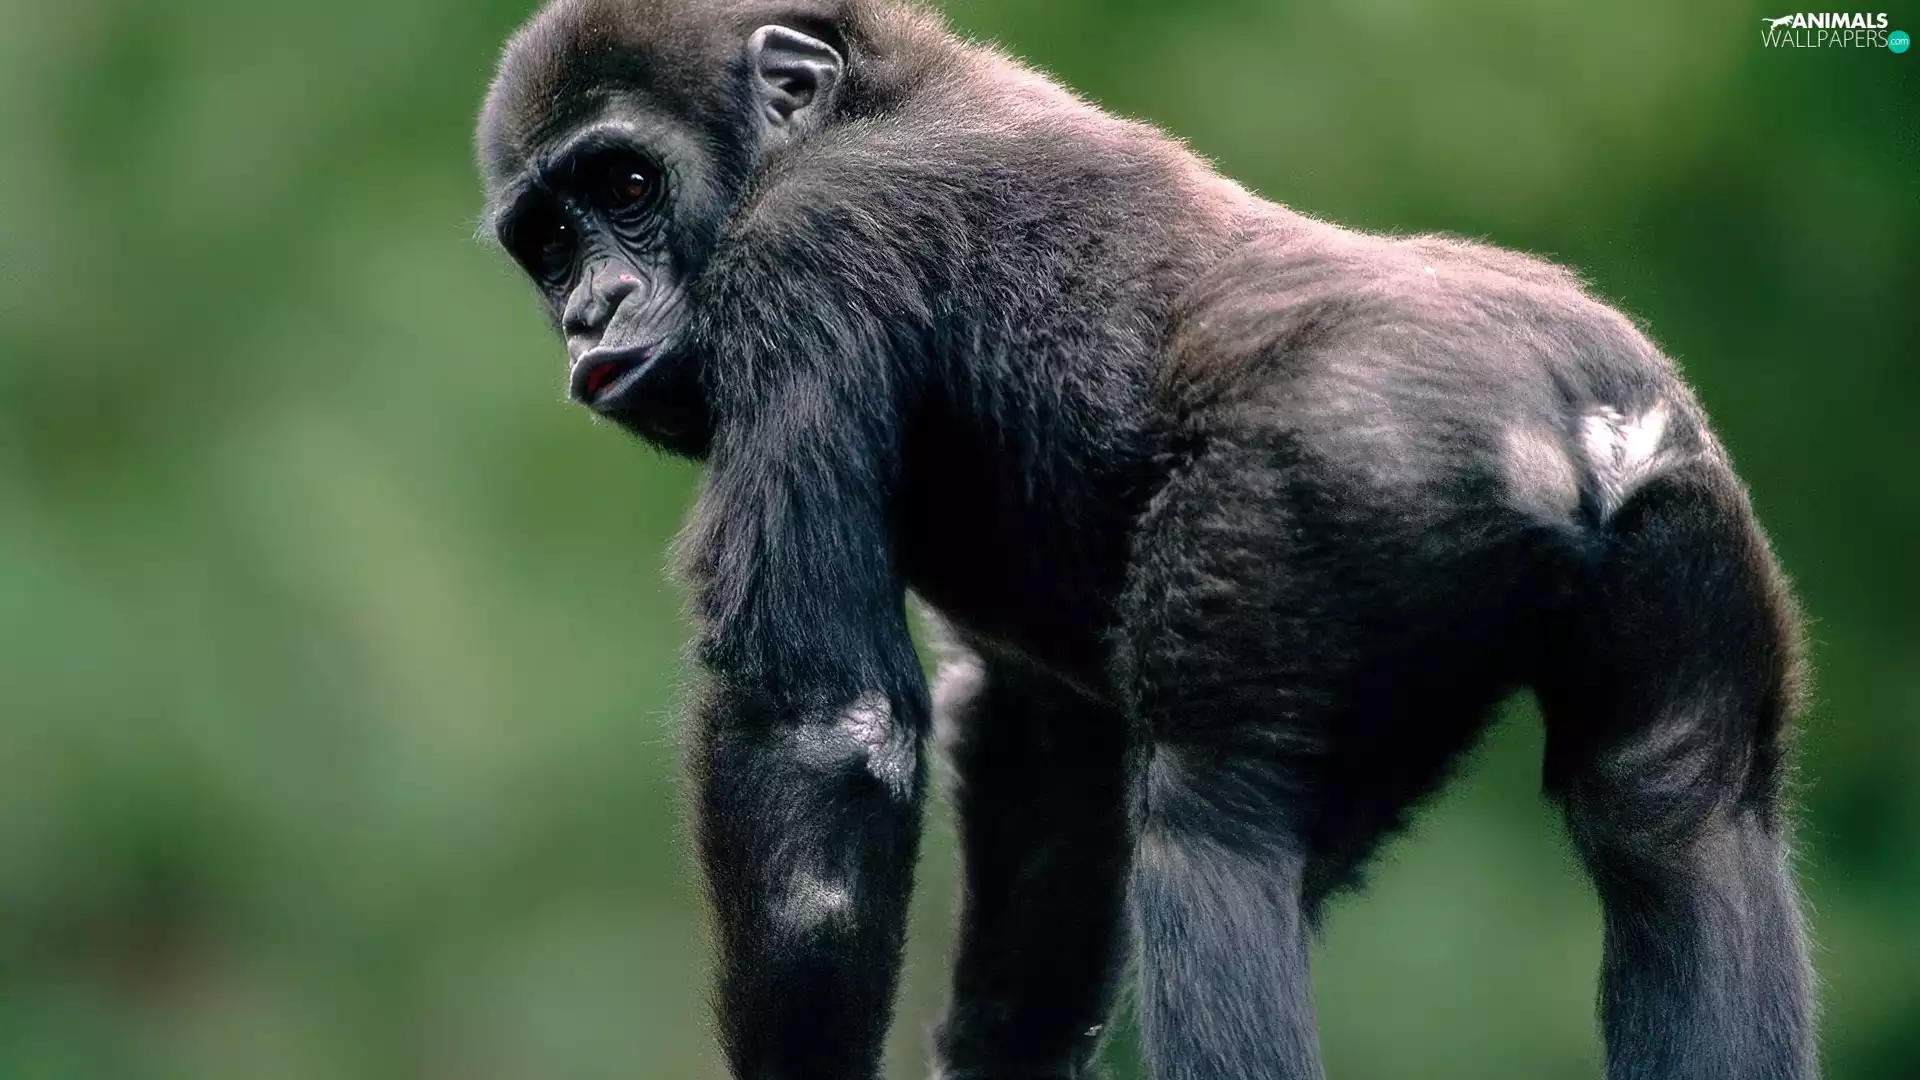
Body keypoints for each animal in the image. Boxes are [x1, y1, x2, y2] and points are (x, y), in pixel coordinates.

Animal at [473, 2, 1817, 1078]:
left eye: (628, 189)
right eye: (549, 243)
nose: (593, 309)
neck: (867, 90)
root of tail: (1583, 415)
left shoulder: (805, 246)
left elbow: (818, 726)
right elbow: (1050, 744)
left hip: (1341, 478)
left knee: (1212, 832)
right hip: (1684, 511)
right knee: (1679, 825)